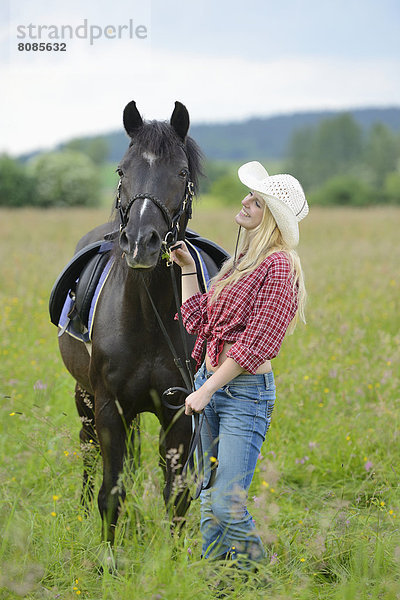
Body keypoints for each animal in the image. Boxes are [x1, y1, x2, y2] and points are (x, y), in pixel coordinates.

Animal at [56, 102, 219, 544]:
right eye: (121, 170)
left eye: (180, 172)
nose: (141, 242)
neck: (147, 315)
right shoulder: (109, 408)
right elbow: (111, 493)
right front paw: (108, 556)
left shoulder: (180, 413)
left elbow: (177, 495)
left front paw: (173, 558)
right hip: (84, 396)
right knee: (88, 448)